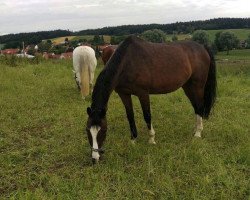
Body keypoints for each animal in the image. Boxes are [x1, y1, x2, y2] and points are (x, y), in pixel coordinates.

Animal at [85, 35, 216, 162]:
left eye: (103, 130)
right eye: (87, 130)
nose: (95, 158)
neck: (127, 62)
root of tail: (202, 47)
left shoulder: (143, 93)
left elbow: (147, 115)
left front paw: (151, 139)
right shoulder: (124, 94)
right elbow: (130, 116)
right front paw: (133, 140)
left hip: (197, 86)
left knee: (199, 106)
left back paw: (198, 133)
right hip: (188, 86)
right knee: (196, 107)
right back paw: (195, 130)